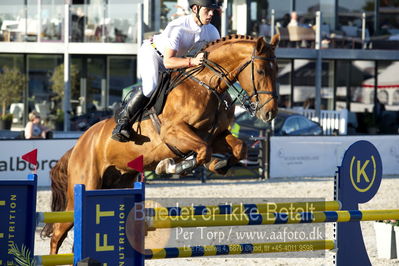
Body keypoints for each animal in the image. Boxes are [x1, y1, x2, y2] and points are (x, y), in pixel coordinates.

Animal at [43, 34, 280, 255]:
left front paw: (218, 166)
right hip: (85, 185)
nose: (270, 113)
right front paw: (170, 166)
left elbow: (239, 148)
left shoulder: (216, 135)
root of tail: (79, 144)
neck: (207, 85)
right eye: (260, 71)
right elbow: (202, 151)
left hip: (116, 183)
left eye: (276, 70)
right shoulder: (174, 133)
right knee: (58, 233)